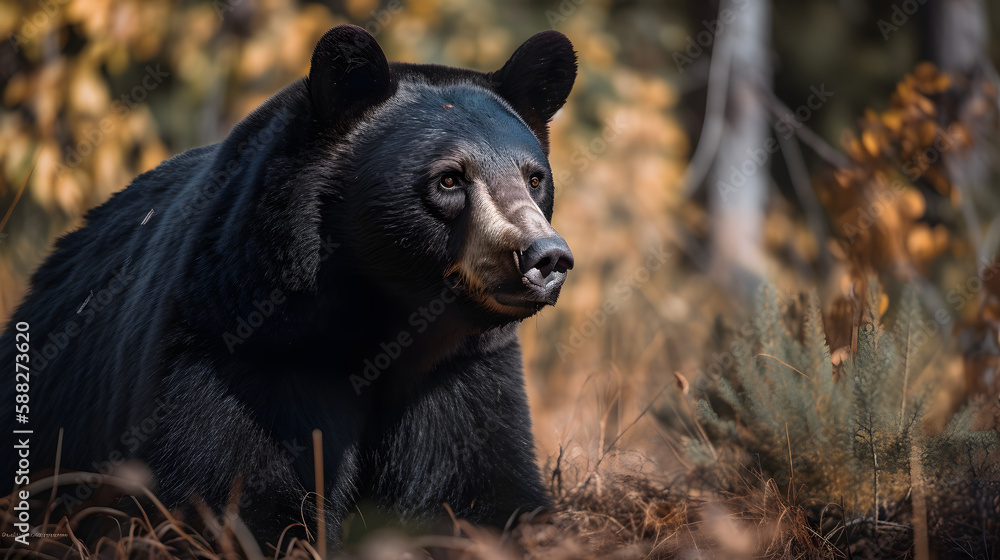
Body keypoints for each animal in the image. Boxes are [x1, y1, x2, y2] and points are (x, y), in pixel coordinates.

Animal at [0, 25, 576, 547]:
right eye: (450, 179)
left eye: (534, 178)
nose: (544, 258)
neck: (379, 315)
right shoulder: (244, 346)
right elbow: (234, 486)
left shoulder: (464, 370)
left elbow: (476, 483)